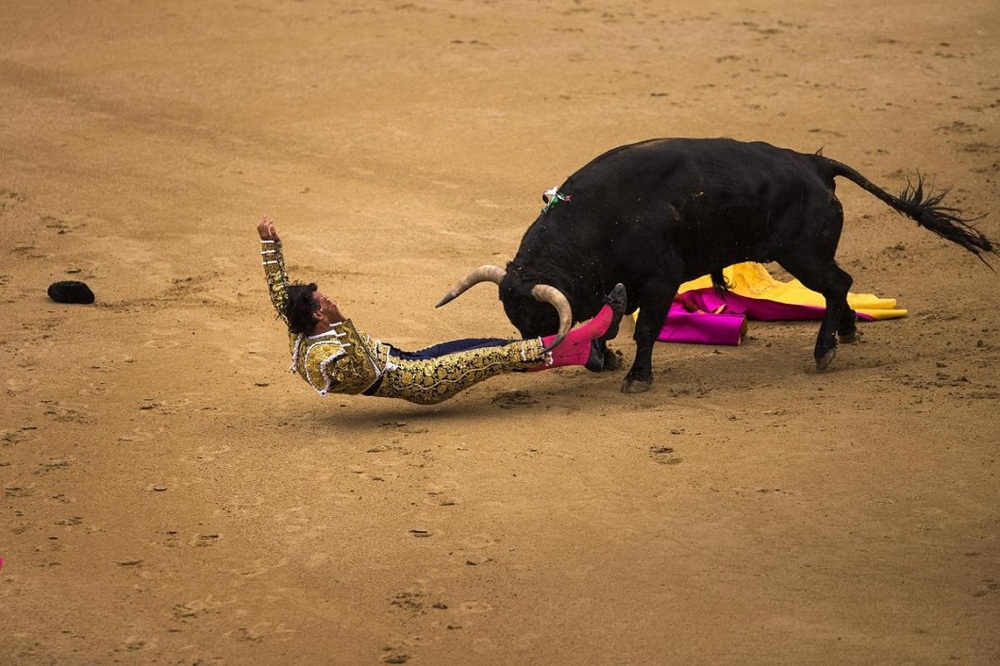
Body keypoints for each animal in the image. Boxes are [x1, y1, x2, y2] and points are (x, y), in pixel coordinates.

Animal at [438, 137, 992, 392]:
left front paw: (635, 376)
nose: (533, 358)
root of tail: (814, 163)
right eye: (517, 321)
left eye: (543, 319)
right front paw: (607, 357)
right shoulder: (621, 282)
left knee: (837, 283)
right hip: (808, 254)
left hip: (802, 255)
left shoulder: (660, 280)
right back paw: (848, 333)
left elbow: (643, 328)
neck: (601, 218)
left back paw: (825, 351)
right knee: (841, 286)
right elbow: (609, 320)